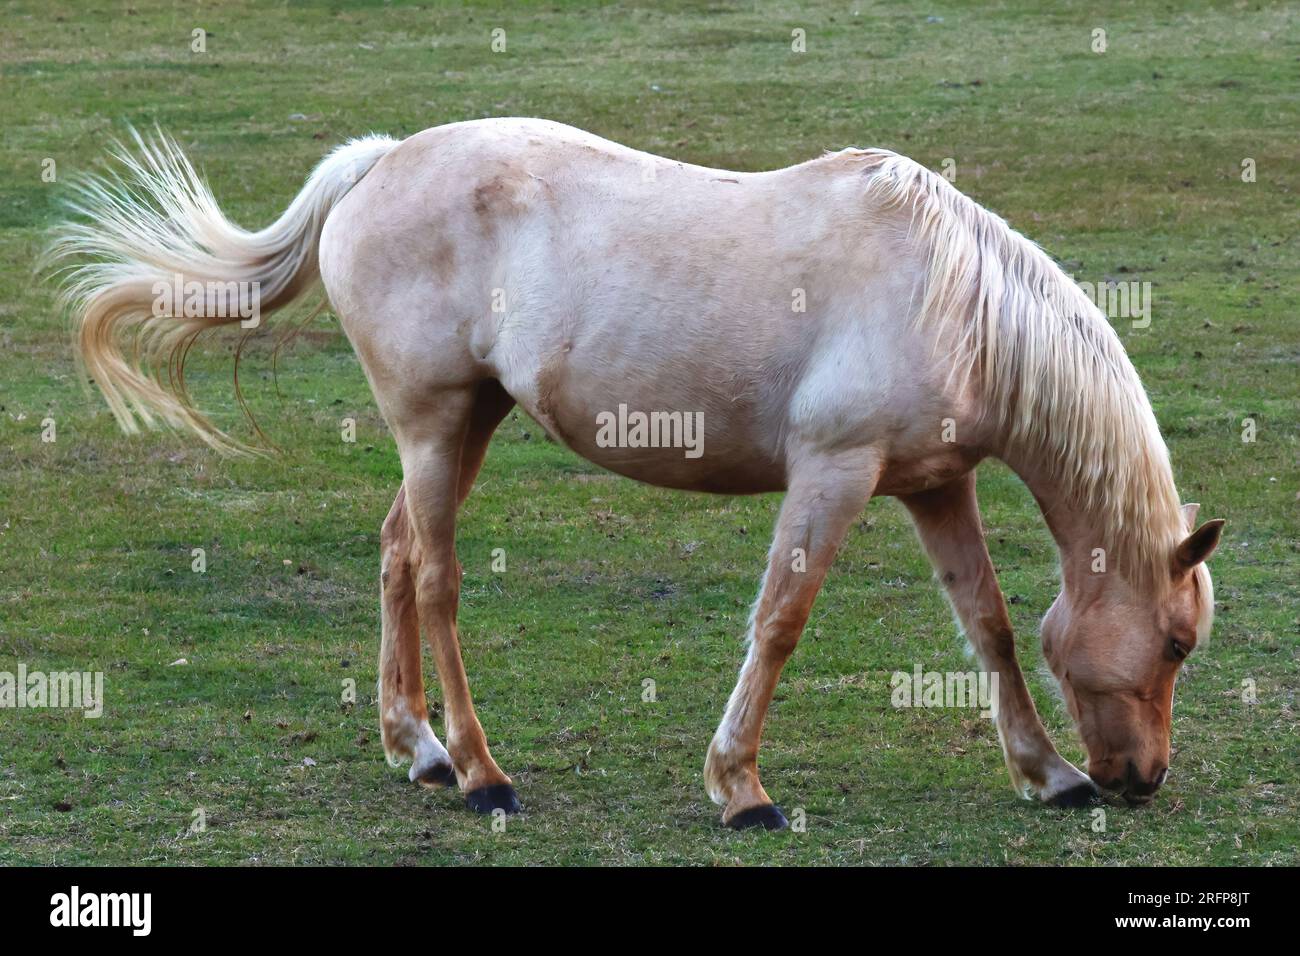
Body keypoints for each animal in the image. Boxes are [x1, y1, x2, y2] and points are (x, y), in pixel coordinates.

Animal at [49, 118, 1223, 829]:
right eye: (1173, 642)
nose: (1144, 778)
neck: (946, 292)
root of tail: (379, 163)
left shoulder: (934, 482)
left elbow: (985, 621)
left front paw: (1046, 771)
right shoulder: (834, 473)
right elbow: (781, 619)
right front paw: (739, 786)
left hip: (467, 424)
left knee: (392, 555)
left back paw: (415, 747)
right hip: (432, 426)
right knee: (433, 578)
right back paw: (480, 771)